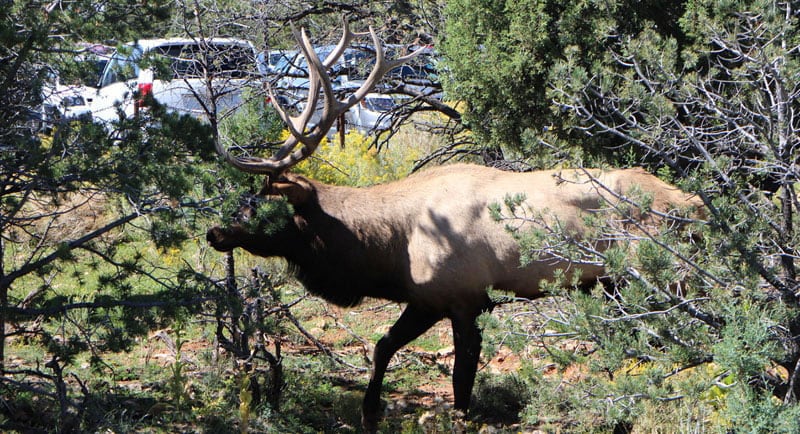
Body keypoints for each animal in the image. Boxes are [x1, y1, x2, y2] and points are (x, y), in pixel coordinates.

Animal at [205, 17, 700, 430]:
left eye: (259, 205)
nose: (215, 232)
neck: (390, 250)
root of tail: (692, 204)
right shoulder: (428, 299)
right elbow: (384, 345)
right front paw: (369, 410)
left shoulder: (463, 298)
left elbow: (461, 378)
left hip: (660, 277)